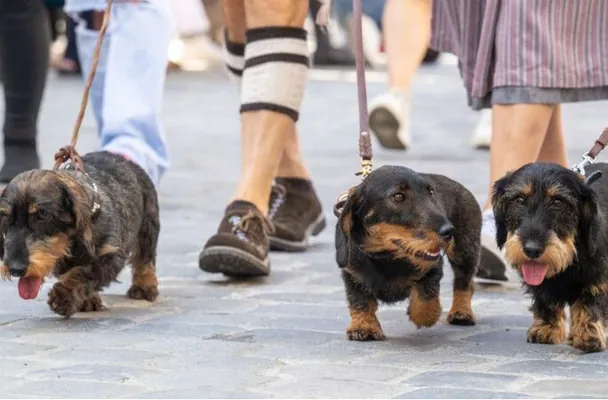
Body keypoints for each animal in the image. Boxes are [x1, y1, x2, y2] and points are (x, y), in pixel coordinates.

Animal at [0, 152, 159, 318]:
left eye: (42, 215)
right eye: (5, 216)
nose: (15, 269)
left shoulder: (111, 253)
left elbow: (84, 272)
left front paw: (64, 296)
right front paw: (88, 300)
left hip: (148, 227)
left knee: (145, 258)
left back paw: (144, 287)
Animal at [334, 164, 482, 340]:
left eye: (431, 192)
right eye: (398, 196)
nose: (449, 231)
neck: (387, 258)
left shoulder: (433, 266)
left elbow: (426, 294)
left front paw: (424, 315)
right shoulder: (353, 273)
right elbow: (359, 300)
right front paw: (364, 326)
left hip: (465, 250)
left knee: (463, 283)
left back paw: (461, 312)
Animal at [492, 162, 608, 354]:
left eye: (558, 201)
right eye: (519, 200)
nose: (532, 250)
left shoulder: (597, 276)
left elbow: (590, 301)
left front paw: (588, 332)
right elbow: (545, 298)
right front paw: (546, 328)